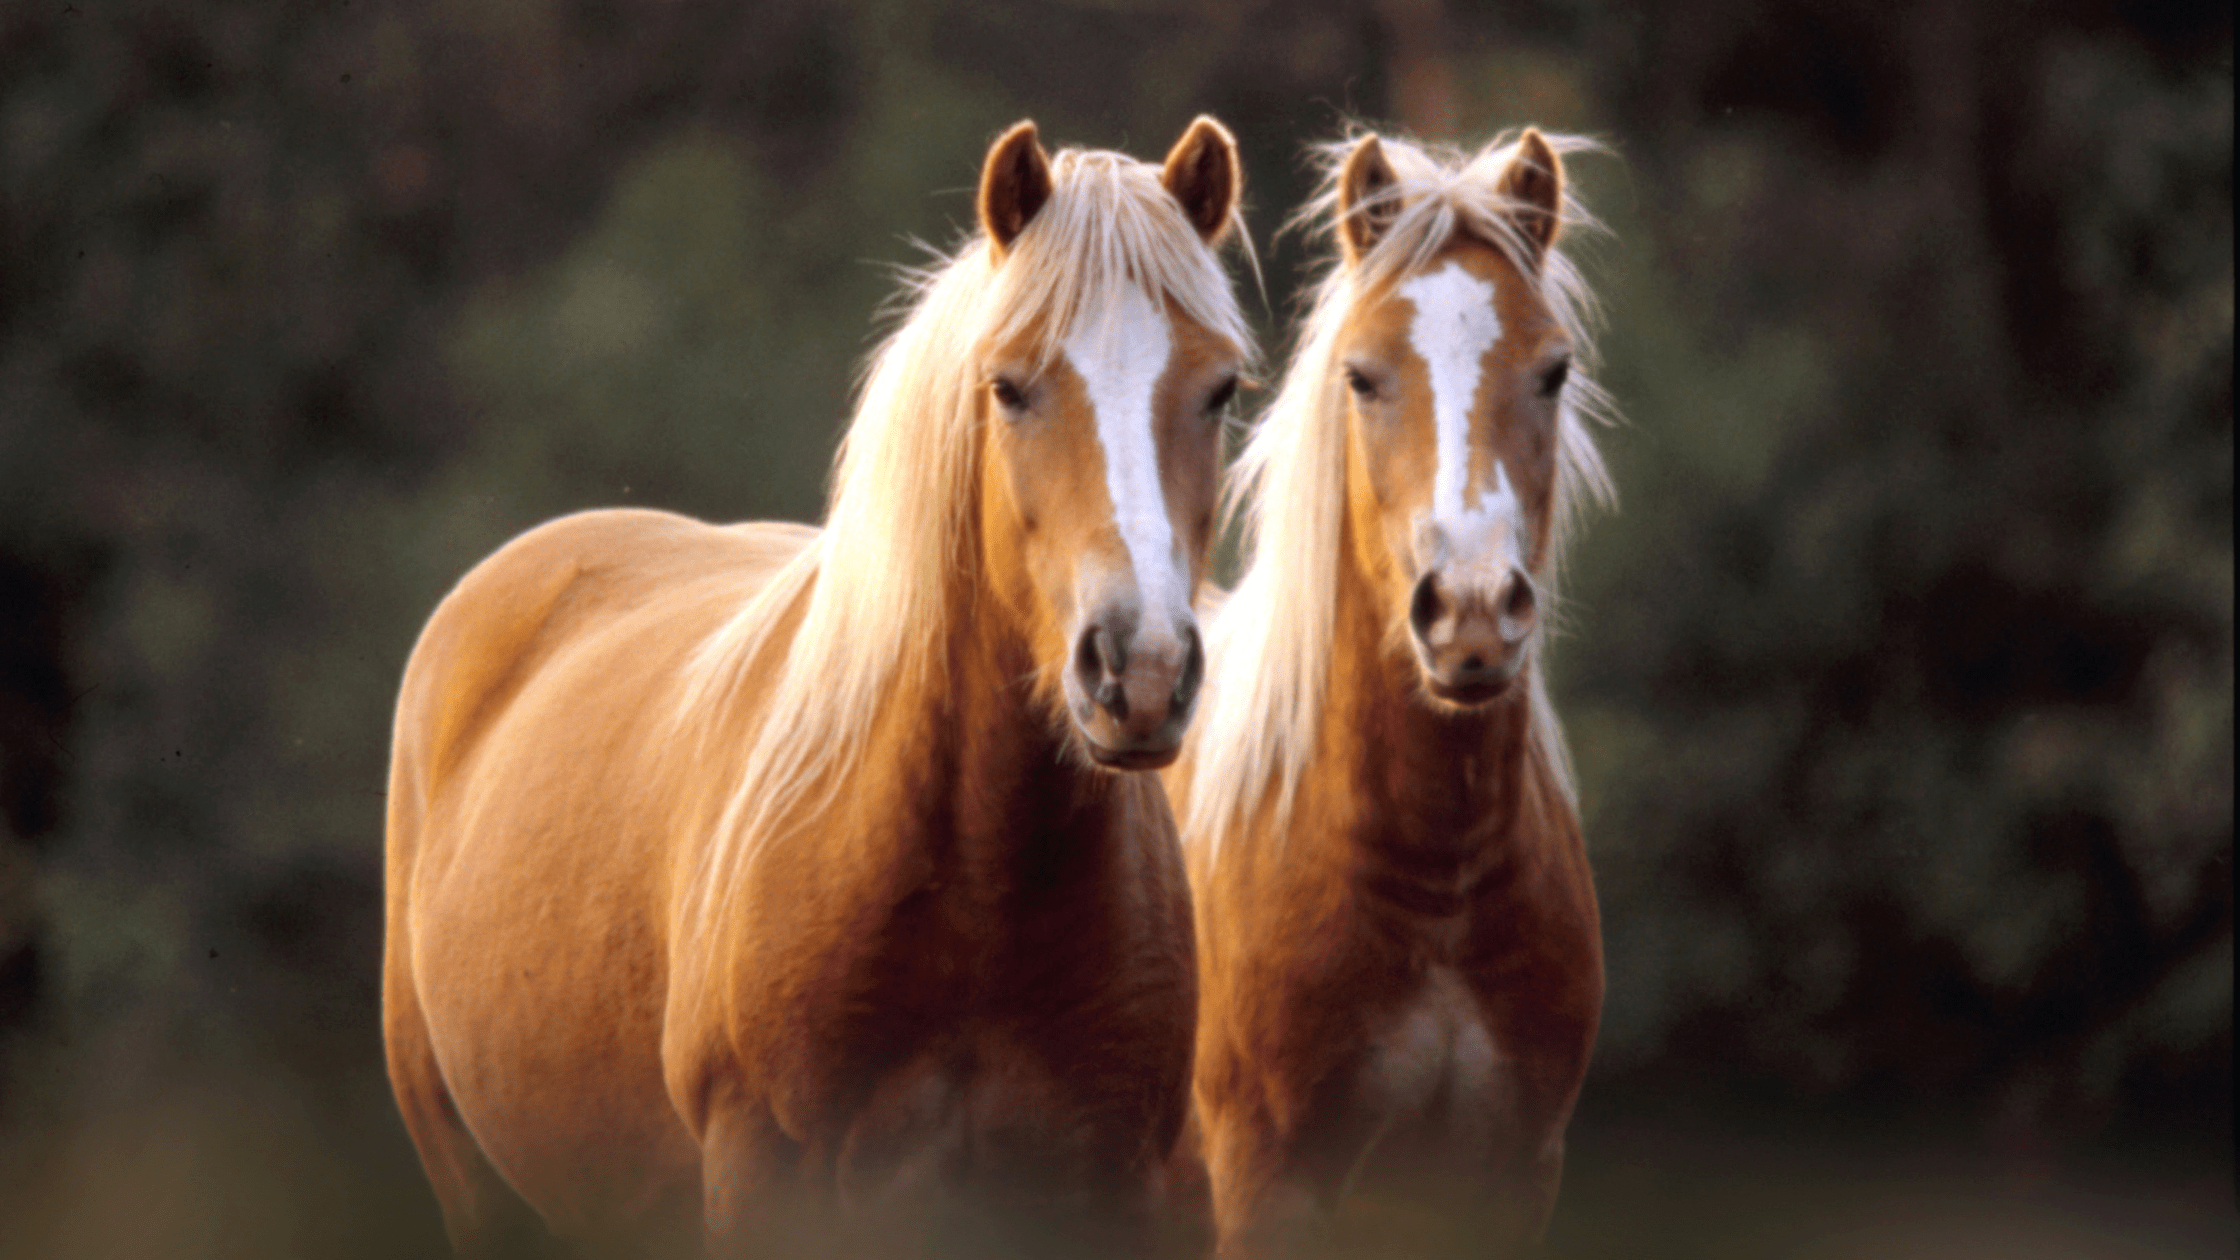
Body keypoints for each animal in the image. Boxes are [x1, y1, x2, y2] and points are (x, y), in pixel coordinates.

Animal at [1166, 128, 1616, 1257]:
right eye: (1362, 377)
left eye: (1553, 371)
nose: (1470, 611)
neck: (1436, 883)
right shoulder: (1265, 1189)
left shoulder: (1509, 1185)